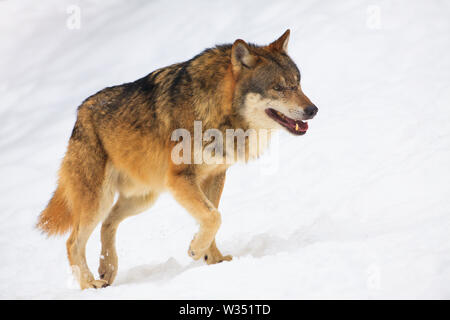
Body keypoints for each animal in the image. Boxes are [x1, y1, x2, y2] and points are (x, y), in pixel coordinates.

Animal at [38, 30, 318, 288]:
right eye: (278, 87)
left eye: (298, 82)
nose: (313, 110)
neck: (217, 110)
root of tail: (79, 114)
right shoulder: (181, 179)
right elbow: (214, 216)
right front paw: (195, 249)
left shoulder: (215, 176)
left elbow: (213, 215)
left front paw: (214, 260)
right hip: (100, 200)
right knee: (73, 242)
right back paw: (90, 285)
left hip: (143, 198)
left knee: (108, 224)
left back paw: (108, 268)